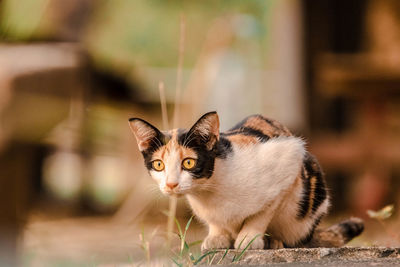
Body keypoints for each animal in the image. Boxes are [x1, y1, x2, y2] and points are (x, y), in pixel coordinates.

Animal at [128, 111, 362, 251]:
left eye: (188, 162)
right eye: (159, 165)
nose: (171, 184)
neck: (209, 191)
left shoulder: (289, 161)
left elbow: (261, 213)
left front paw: (248, 238)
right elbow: (216, 222)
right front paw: (217, 236)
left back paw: (274, 241)